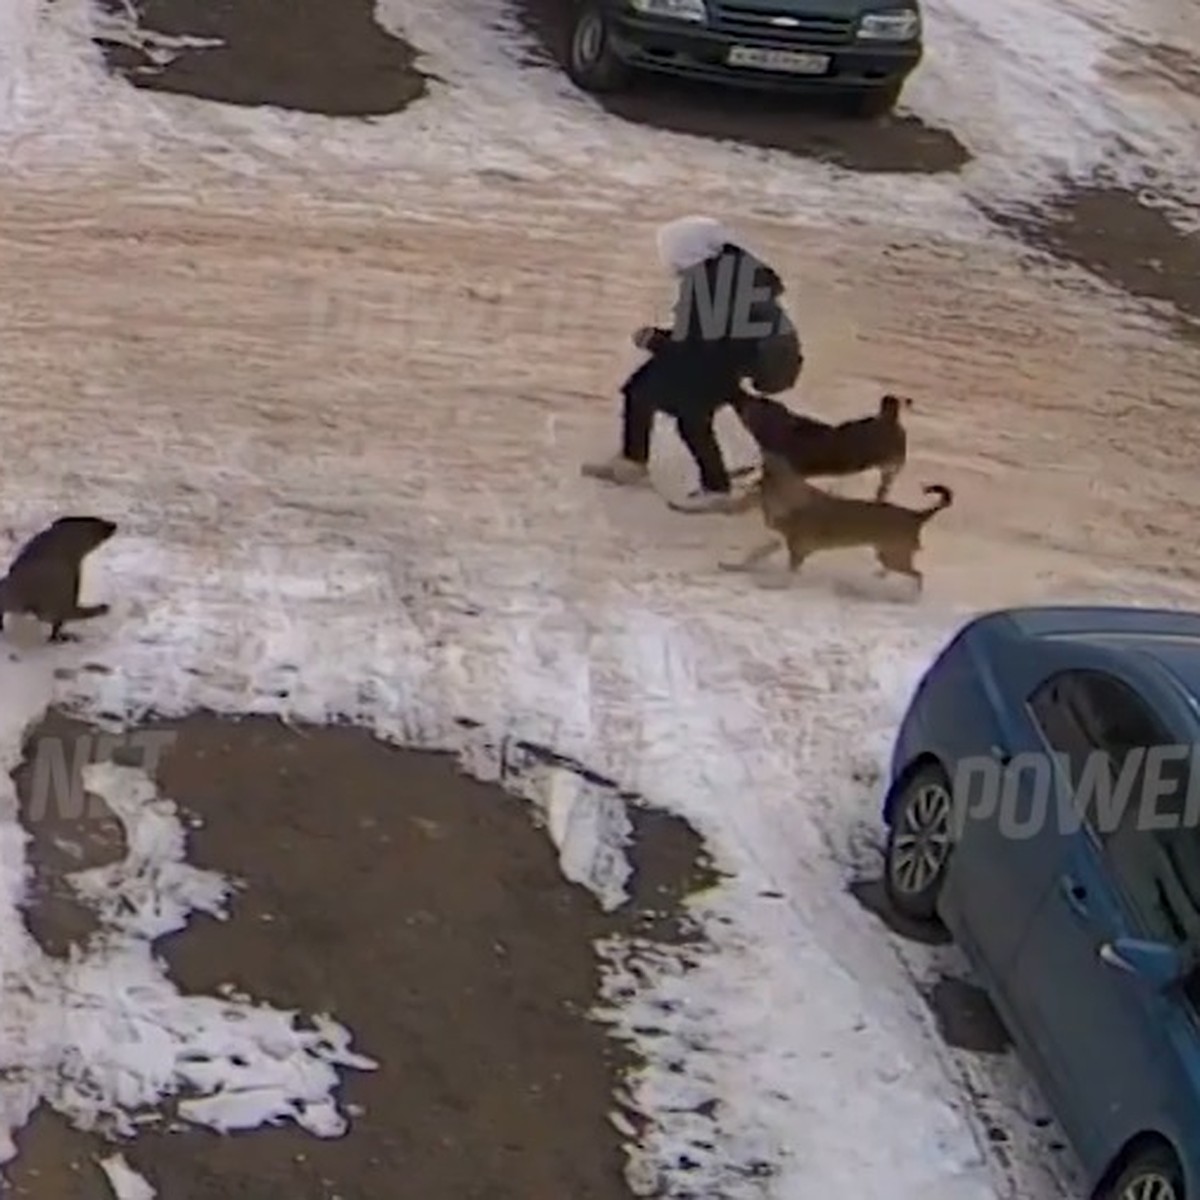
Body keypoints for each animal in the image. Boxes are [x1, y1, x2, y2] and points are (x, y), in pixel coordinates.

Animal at [710, 451, 955, 592]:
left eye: (755, 477)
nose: (734, 479)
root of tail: (917, 515)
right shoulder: (778, 542)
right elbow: (753, 557)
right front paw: (733, 567)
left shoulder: (797, 550)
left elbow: (787, 574)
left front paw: (775, 585)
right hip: (887, 553)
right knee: (900, 570)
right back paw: (882, 576)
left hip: (895, 556)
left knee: (918, 576)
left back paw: (911, 595)